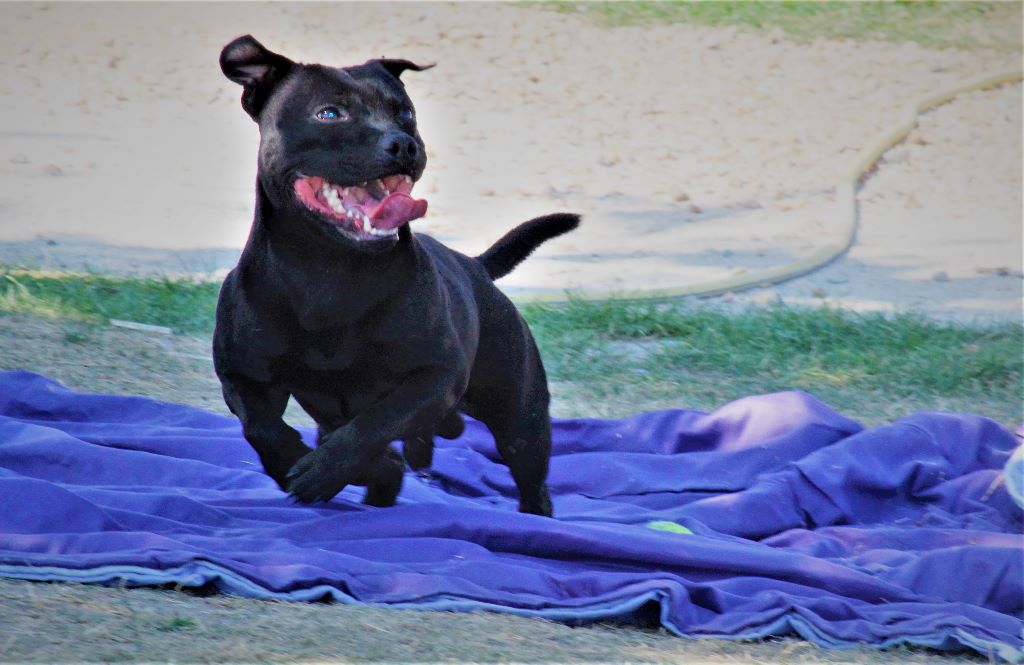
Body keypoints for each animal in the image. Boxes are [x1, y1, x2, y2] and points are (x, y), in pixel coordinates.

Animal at [209, 33, 577, 516]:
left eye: (406, 114)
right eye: (330, 113)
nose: (402, 144)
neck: (328, 271)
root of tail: (475, 265)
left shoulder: (435, 376)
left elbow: (379, 421)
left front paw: (328, 469)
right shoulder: (243, 377)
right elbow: (262, 429)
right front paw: (303, 463)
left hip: (520, 417)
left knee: (530, 477)